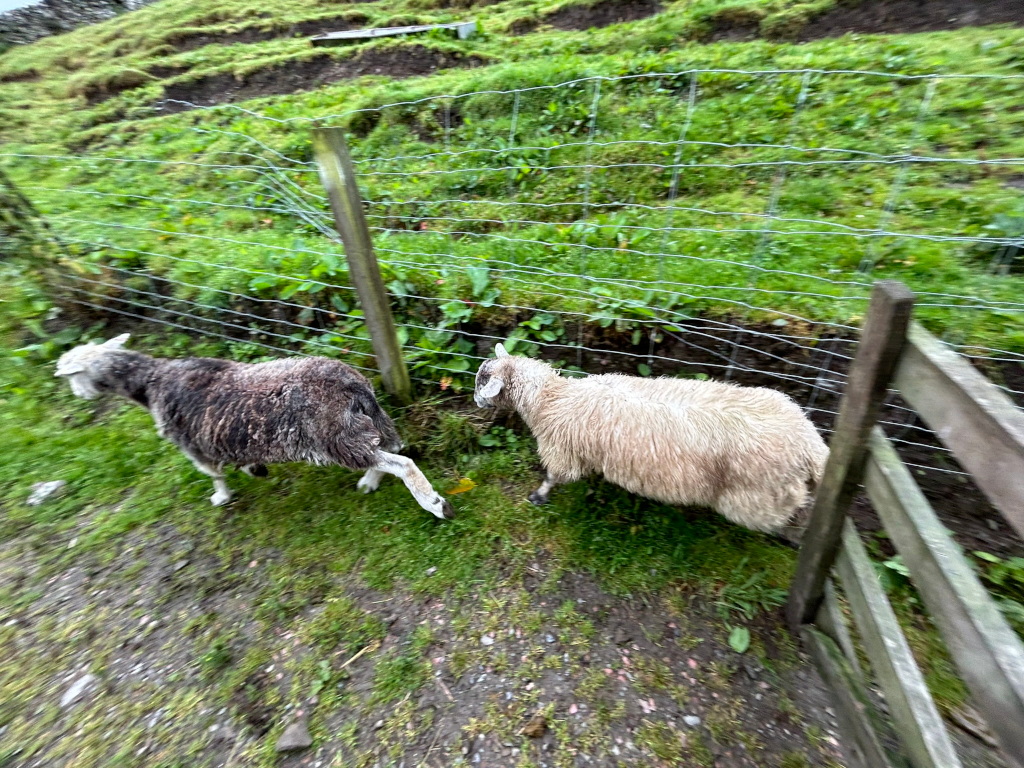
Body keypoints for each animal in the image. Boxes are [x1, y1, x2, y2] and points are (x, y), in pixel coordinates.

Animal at [54, 333, 453, 519]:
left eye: (71, 374)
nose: (77, 395)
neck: (152, 382)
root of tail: (349, 382)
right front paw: (254, 468)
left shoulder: (193, 446)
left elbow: (213, 474)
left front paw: (221, 496)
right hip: (359, 427)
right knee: (385, 453)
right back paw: (370, 482)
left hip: (334, 439)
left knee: (402, 463)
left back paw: (434, 503)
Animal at [473, 343, 828, 533]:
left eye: (481, 383)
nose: (475, 401)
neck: (551, 397)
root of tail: (808, 442)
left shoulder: (562, 453)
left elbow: (554, 476)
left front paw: (538, 496)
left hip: (755, 498)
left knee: (788, 509)